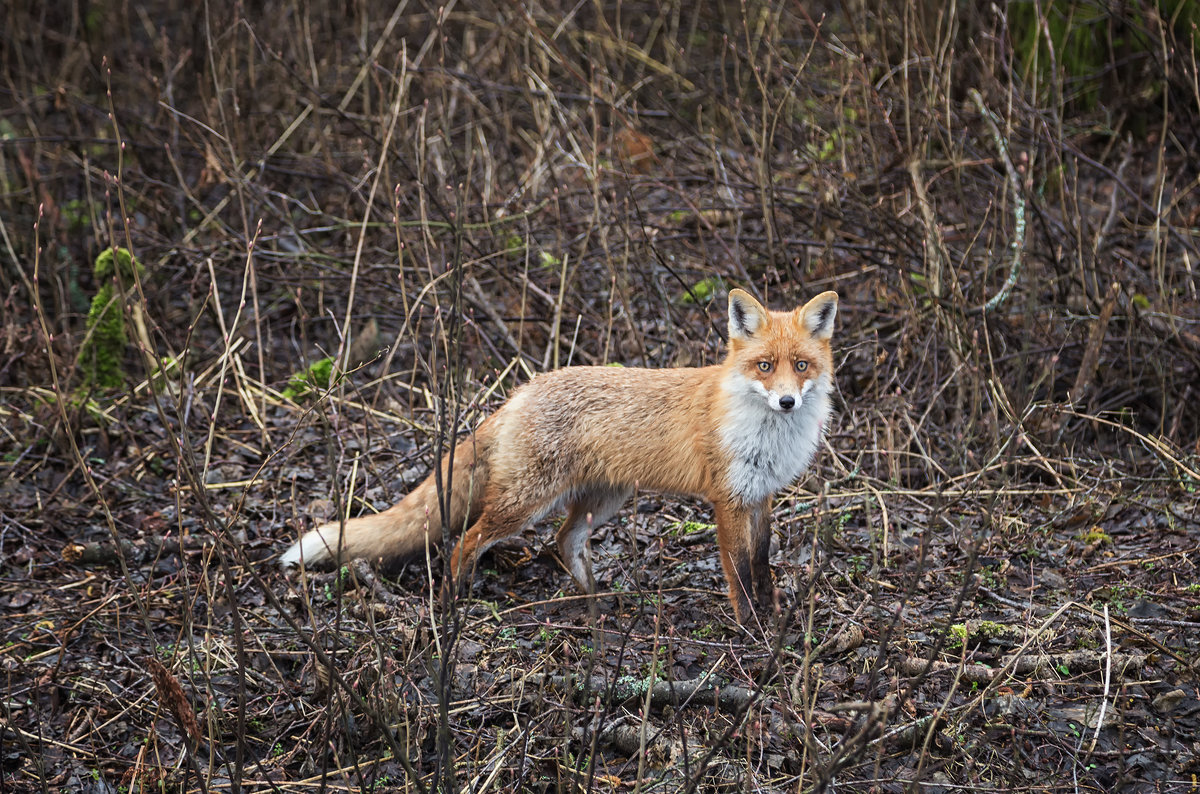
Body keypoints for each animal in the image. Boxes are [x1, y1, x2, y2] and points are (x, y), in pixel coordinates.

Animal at [284, 289, 840, 623]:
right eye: (765, 366)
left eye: (801, 366)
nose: (787, 402)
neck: (766, 432)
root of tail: (519, 392)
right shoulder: (728, 498)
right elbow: (738, 571)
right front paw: (747, 628)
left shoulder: (760, 495)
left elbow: (762, 562)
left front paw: (771, 613)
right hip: (527, 503)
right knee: (466, 541)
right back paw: (451, 604)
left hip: (604, 498)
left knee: (563, 541)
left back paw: (595, 601)